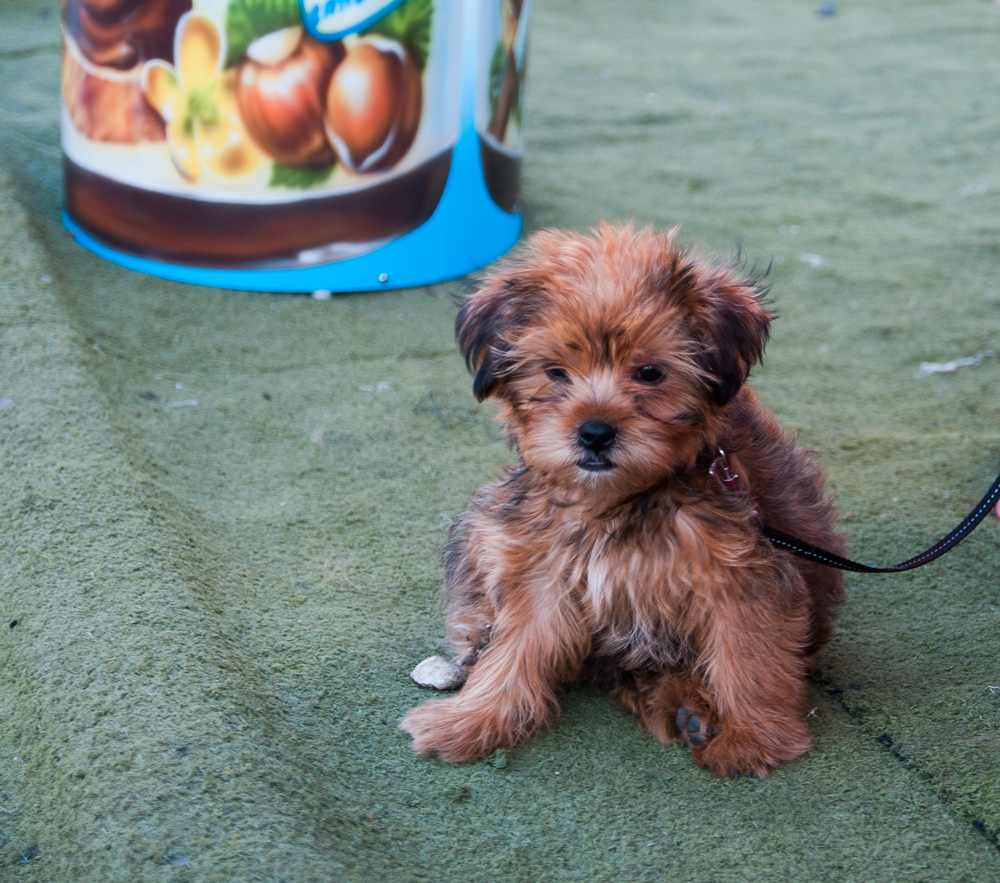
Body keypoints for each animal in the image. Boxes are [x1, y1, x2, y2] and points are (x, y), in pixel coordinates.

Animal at [398, 224, 844, 776]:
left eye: (650, 372)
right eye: (554, 372)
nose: (594, 433)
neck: (619, 500)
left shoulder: (743, 573)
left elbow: (748, 654)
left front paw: (752, 736)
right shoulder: (545, 568)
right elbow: (516, 647)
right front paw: (474, 718)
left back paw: (688, 705)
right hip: (491, 522)